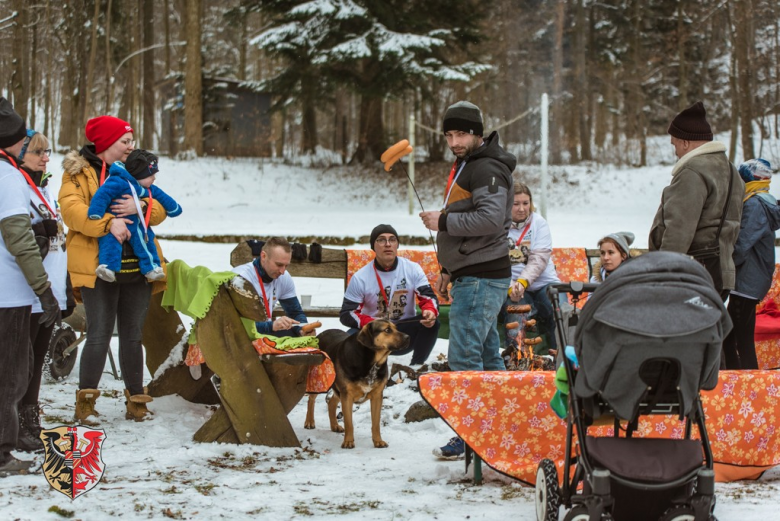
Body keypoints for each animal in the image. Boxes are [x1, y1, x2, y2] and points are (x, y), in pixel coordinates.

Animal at [304, 318, 412, 448]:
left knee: (331, 403)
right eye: (387, 330)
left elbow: (376, 423)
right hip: (318, 381)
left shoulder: (377, 396)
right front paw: (348, 442)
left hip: (337, 389)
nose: (408, 337)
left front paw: (378, 441)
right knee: (311, 400)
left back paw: (334, 426)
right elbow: (349, 423)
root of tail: (319, 336)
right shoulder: (347, 396)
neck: (373, 362)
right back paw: (309, 422)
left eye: (396, 328)